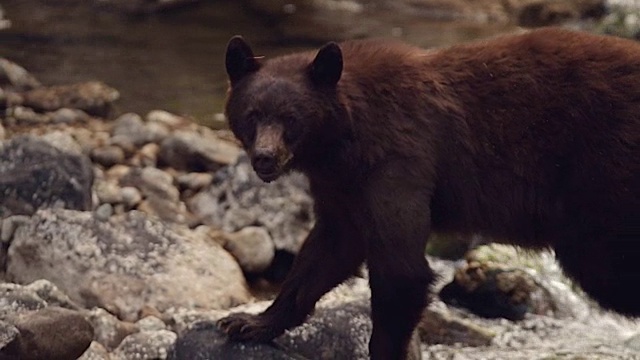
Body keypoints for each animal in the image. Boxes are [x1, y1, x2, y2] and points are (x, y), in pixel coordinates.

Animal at [218, 28, 636, 360]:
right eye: (253, 114)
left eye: (291, 118)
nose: (265, 158)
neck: (345, 139)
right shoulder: (342, 186)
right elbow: (327, 251)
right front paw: (248, 322)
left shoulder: (400, 161)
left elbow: (401, 269)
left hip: (603, 184)